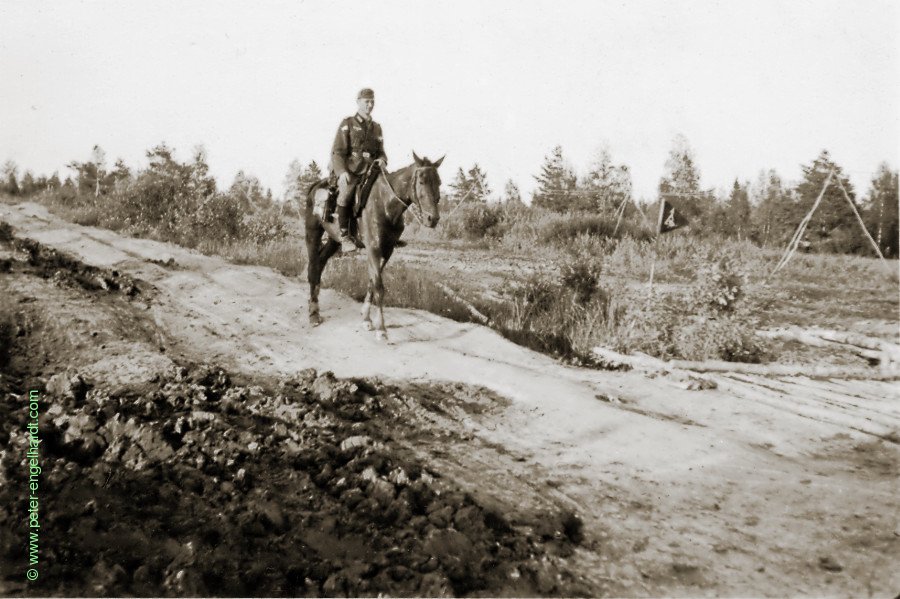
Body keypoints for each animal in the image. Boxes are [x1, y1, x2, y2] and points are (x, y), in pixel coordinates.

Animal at [306, 152, 442, 340]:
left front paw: (366, 318)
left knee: (320, 263)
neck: (385, 203)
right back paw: (313, 315)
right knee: (313, 268)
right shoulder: (373, 249)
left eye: (439, 182)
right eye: (421, 181)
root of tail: (316, 186)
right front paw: (381, 329)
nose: (433, 219)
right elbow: (378, 286)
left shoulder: (387, 250)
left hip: (334, 239)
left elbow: (372, 282)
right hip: (312, 233)